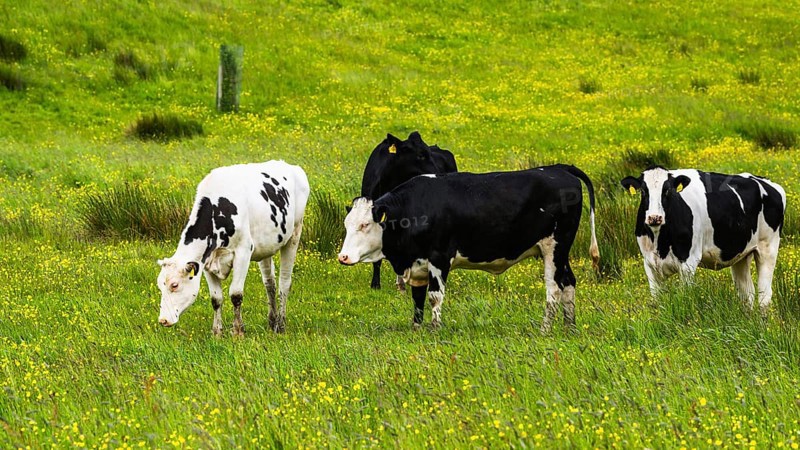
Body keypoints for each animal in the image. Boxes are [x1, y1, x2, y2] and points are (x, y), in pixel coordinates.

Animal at [156, 160, 310, 336]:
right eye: (159, 285)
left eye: (174, 285)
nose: (163, 320)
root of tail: (290, 166)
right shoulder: (206, 261)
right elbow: (216, 298)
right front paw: (217, 332)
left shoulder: (243, 252)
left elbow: (236, 294)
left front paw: (238, 331)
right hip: (265, 245)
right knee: (270, 283)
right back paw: (272, 322)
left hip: (295, 233)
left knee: (284, 283)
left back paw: (281, 325)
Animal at [338, 165, 599, 333]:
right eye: (347, 224)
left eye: (364, 225)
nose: (343, 256)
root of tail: (560, 169)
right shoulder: (418, 264)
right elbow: (418, 297)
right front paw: (416, 328)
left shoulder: (440, 258)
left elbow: (434, 297)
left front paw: (434, 330)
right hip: (562, 252)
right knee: (569, 282)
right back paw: (569, 327)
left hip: (553, 248)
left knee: (553, 289)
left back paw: (545, 330)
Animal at [620, 167, 785, 313]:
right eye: (643, 191)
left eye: (667, 190)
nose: (654, 217)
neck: (660, 243)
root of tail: (768, 182)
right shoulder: (649, 264)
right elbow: (657, 302)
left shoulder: (688, 262)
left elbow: (685, 298)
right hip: (741, 255)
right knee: (747, 295)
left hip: (768, 248)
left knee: (764, 296)